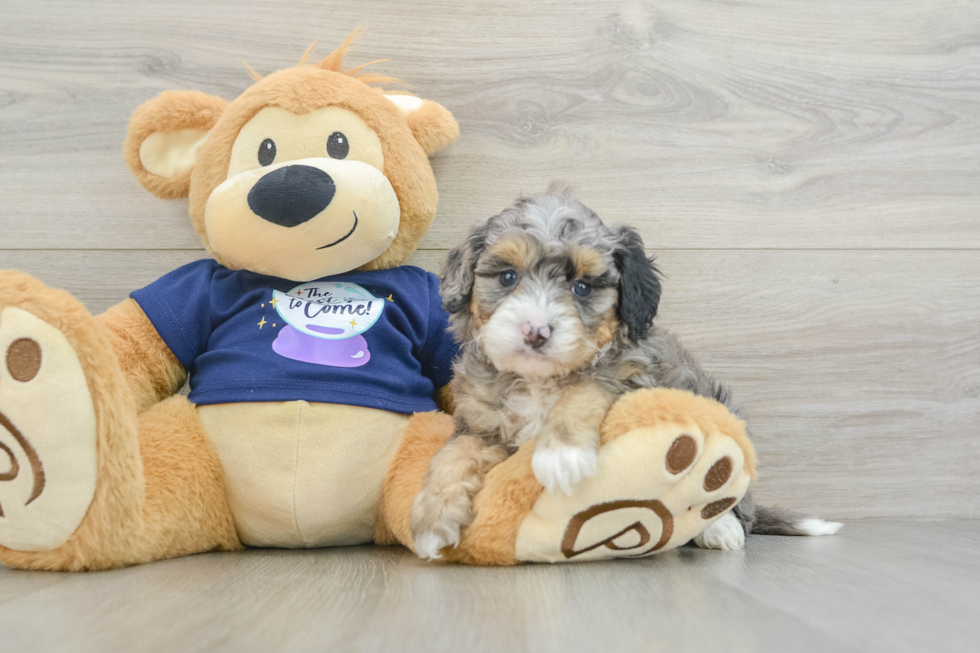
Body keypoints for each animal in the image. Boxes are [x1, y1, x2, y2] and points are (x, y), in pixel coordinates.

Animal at [410, 186, 840, 556]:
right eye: (507, 277)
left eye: (583, 287)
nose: (536, 331)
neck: (540, 380)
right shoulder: (479, 423)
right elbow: (454, 453)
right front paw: (432, 519)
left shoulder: (638, 378)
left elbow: (588, 386)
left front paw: (561, 453)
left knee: (730, 502)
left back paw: (720, 529)